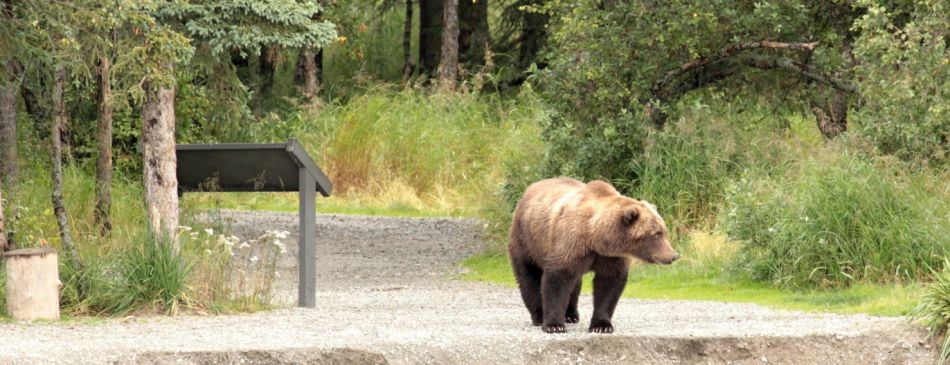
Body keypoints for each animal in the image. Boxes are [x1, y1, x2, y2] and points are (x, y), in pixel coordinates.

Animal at [510, 176, 680, 332]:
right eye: (656, 234)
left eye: (664, 231)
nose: (673, 255)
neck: (595, 237)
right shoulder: (570, 244)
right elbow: (558, 279)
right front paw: (554, 325)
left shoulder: (610, 257)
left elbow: (609, 285)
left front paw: (601, 325)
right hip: (526, 240)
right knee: (529, 277)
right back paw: (539, 316)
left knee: (575, 283)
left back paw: (571, 315)